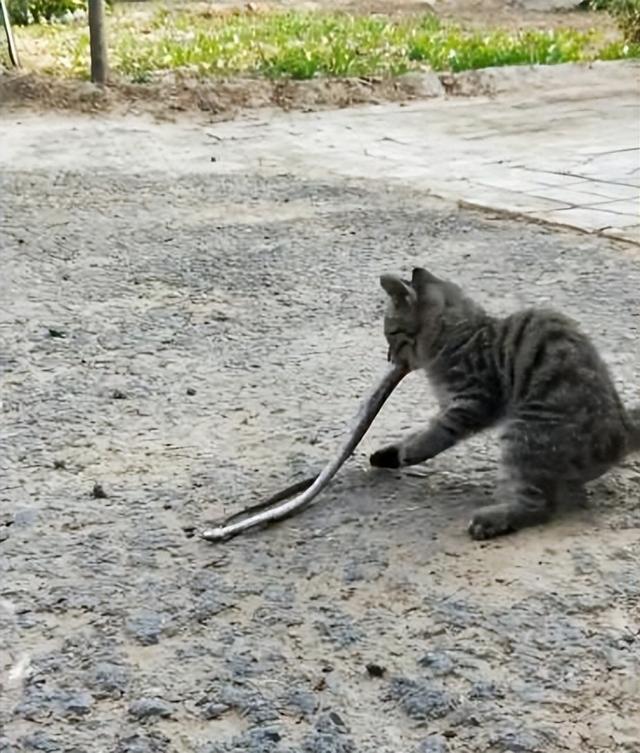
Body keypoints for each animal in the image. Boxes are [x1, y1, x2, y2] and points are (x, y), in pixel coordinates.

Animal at [370, 268, 640, 536]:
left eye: (391, 334)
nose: (389, 357)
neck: (460, 334)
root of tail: (625, 430)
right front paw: (392, 452)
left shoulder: (472, 401)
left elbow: (436, 433)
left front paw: (411, 451)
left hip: (525, 432)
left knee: (540, 507)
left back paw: (491, 519)